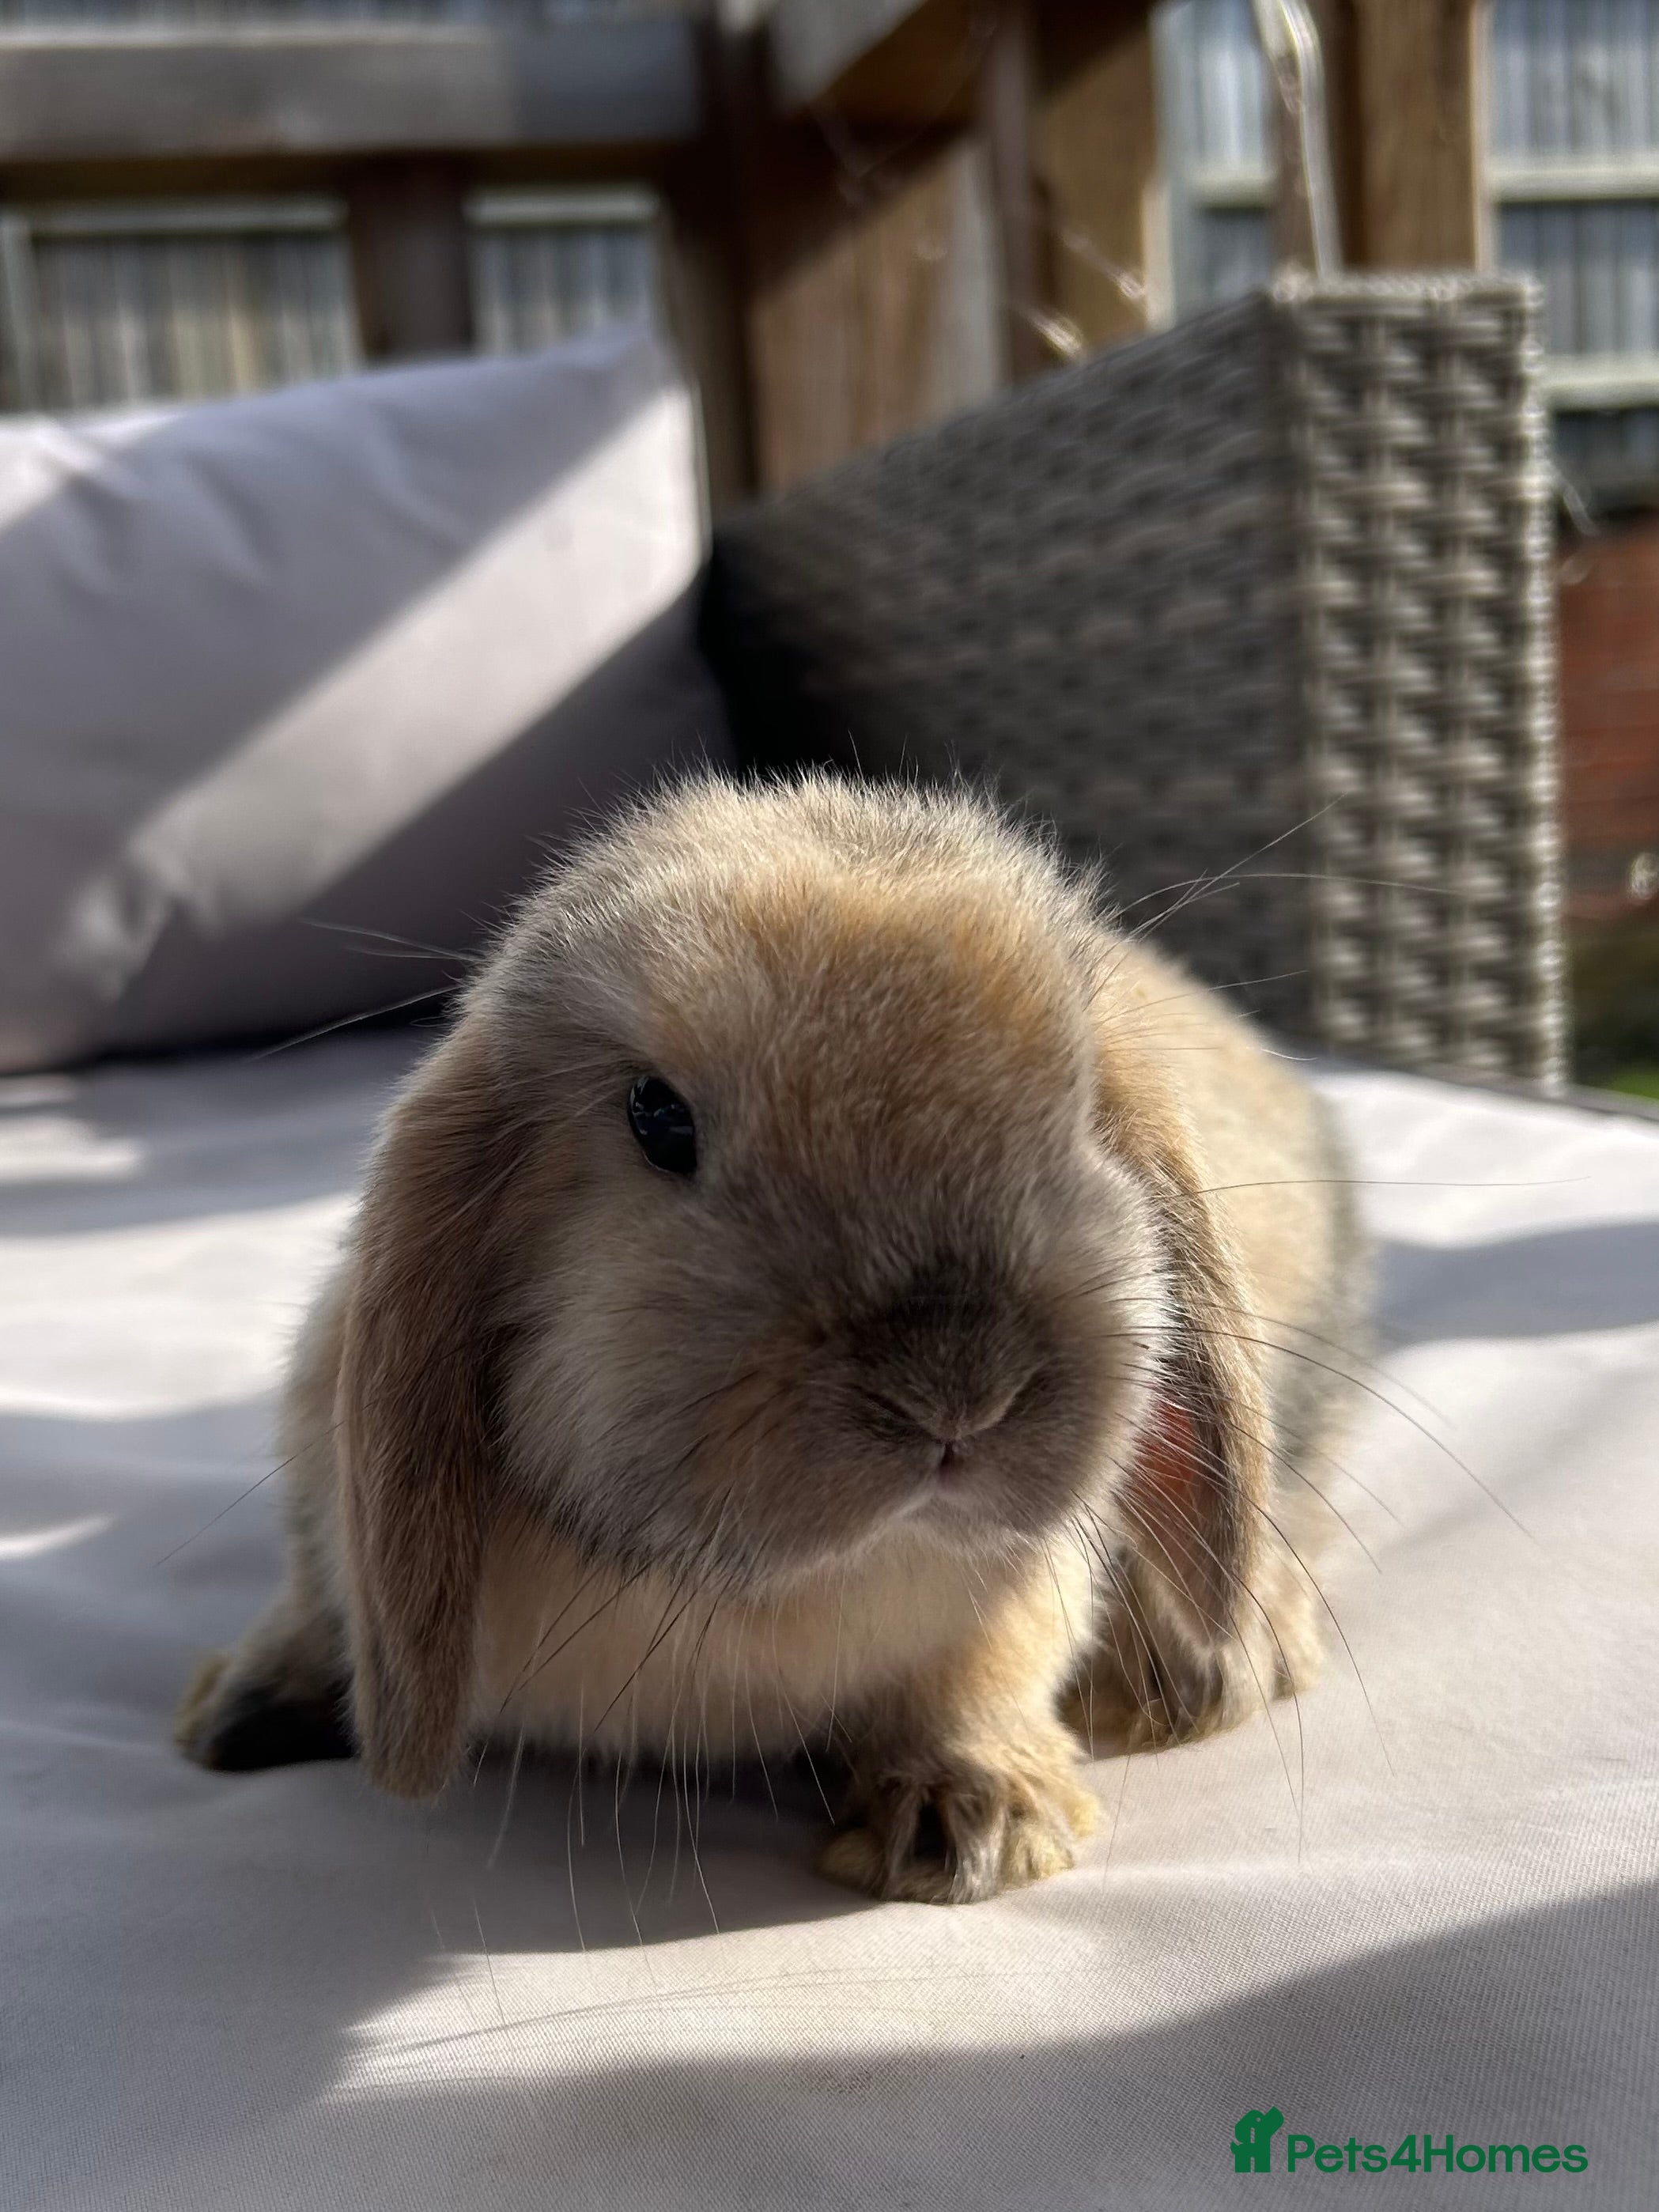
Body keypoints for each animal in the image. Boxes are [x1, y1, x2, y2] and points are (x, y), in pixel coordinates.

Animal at [175, 774, 1367, 1904]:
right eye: (657, 1118)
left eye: (1077, 1109)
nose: (956, 1389)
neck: (746, 1595)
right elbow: (316, 1595)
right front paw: (240, 1706)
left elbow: (982, 1673)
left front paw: (971, 1822)